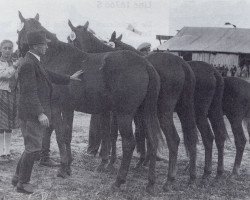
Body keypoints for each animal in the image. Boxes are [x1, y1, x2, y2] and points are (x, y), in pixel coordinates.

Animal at [16, 12, 163, 192]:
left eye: (19, 30)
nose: (17, 52)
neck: (56, 56)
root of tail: (145, 63)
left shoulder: (57, 107)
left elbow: (60, 135)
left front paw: (63, 168)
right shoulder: (68, 108)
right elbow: (67, 135)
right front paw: (68, 166)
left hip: (125, 114)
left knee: (129, 143)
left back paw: (118, 180)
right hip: (144, 113)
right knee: (152, 140)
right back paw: (150, 182)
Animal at [67, 19, 199, 191]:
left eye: (74, 40)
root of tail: (182, 63)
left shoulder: (111, 112)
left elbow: (109, 133)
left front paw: (107, 162)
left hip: (163, 112)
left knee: (173, 140)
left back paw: (168, 179)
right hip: (184, 109)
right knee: (191, 137)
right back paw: (191, 175)